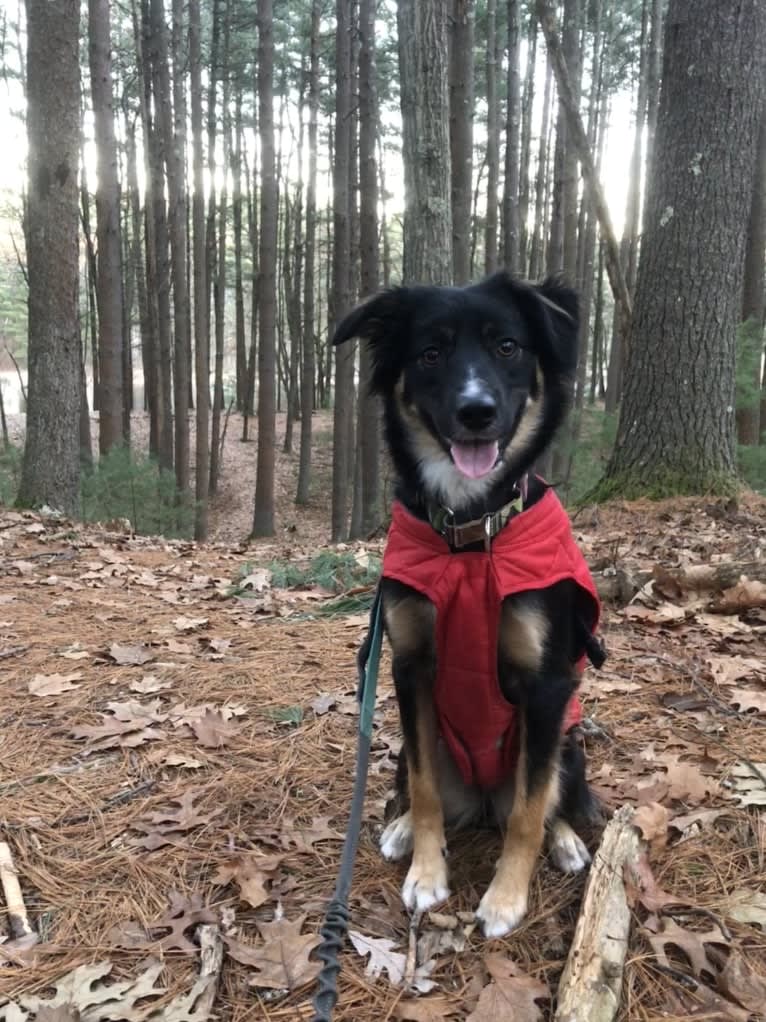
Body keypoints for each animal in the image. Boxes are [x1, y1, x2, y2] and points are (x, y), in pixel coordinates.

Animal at [332, 269, 604, 936]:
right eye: (430, 354)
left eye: (507, 346)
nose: (476, 411)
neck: (469, 537)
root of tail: (481, 798)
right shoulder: (410, 667)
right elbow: (427, 790)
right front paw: (427, 873)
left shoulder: (547, 687)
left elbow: (528, 812)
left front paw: (506, 898)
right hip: (412, 742)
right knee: (413, 781)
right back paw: (402, 827)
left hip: (567, 744)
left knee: (547, 799)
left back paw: (565, 840)